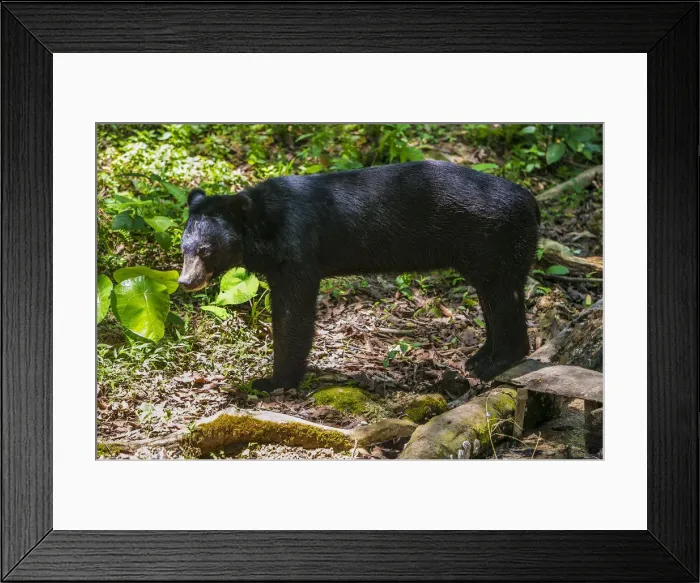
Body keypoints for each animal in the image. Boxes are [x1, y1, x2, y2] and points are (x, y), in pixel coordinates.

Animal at [179, 160, 540, 389]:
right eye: (184, 247)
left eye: (206, 250)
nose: (185, 281)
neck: (264, 228)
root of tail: (532, 203)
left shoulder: (298, 250)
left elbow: (294, 314)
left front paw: (271, 382)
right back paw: (479, 358)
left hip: (493, 242)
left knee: (501, 296)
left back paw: (495, 362)